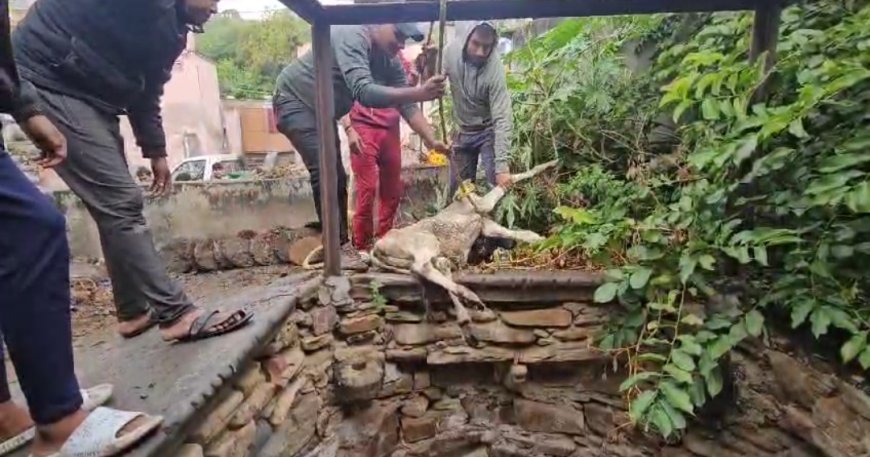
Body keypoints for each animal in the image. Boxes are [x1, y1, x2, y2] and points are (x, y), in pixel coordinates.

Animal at [370, 160, 560, 328]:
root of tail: (377, 246)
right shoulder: (483, 206)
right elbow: (514, 178)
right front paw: (550, 163)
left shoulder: (485, 224)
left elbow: (522, 233)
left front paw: (545, 240)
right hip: (427, 240)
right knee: (421, 266)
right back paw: (469, 296)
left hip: (426, 255)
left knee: (436, 267)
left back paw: (467, 305)